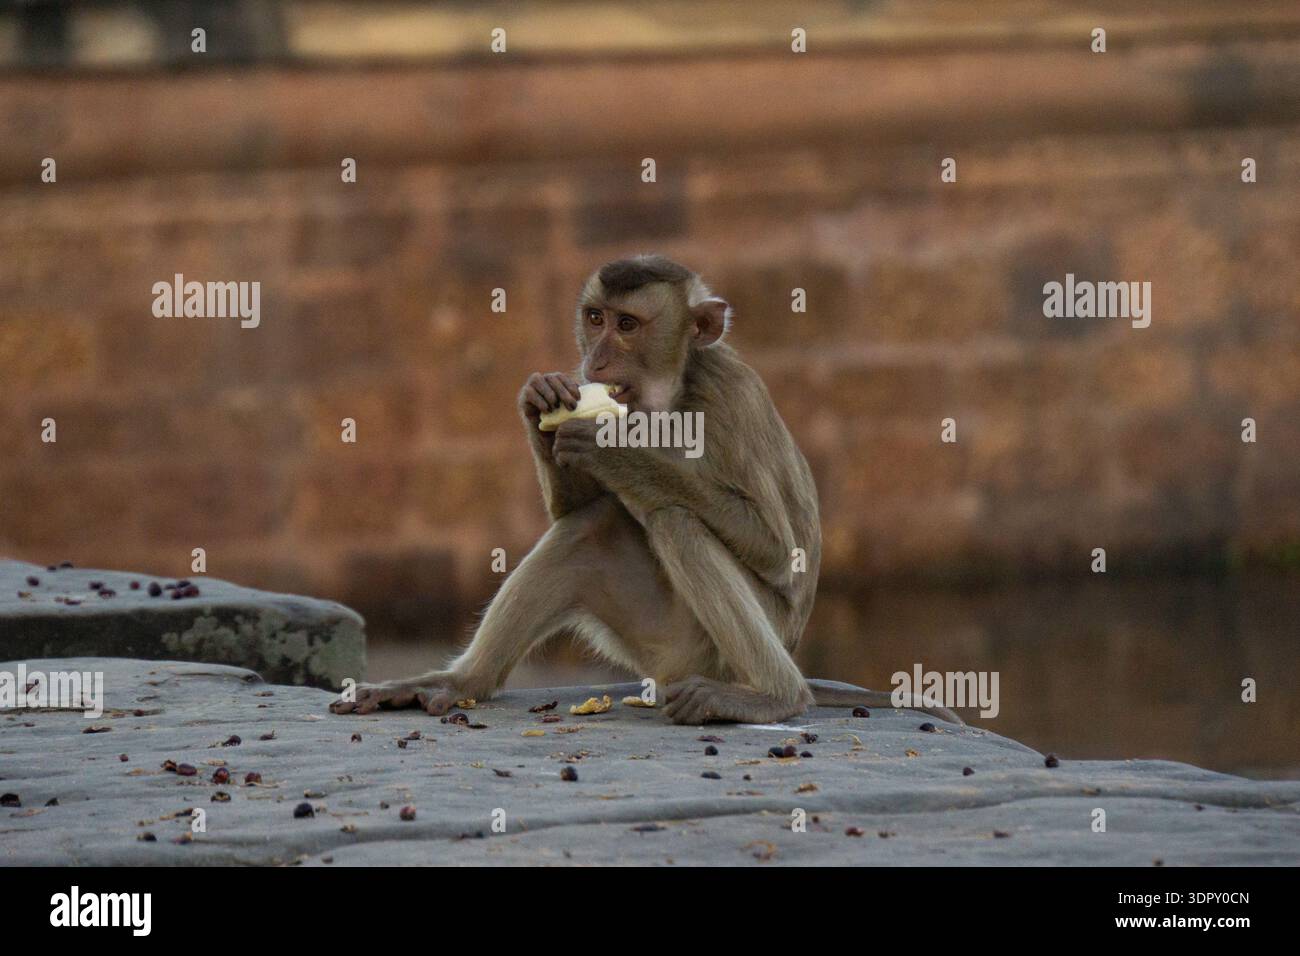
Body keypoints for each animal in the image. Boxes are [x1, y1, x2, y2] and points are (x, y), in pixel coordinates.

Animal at [331, 255, 960, 726]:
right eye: (594, 318)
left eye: (627, 326)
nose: (596, 357)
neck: (673, 394)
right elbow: (577, 508)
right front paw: (540, 400)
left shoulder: (728, 396)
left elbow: (779, 549)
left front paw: (613, 446)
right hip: (656, 642)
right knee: (589, 527)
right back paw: (460, 681)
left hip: (712, 652)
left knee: (675, 521)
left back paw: (775, 697)